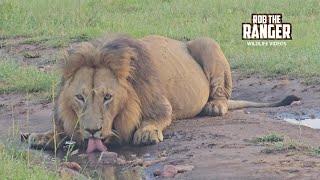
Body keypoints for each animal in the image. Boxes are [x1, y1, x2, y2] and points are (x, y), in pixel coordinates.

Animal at [27, 34, 300, 152]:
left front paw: (146, 133)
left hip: (207, 43)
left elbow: (155, 118)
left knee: (221, 94)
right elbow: (60, 127)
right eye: (80, 97)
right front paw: (44, 136)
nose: (93, 130)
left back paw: (214, 106)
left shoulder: (161, 105)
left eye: (108, 97)